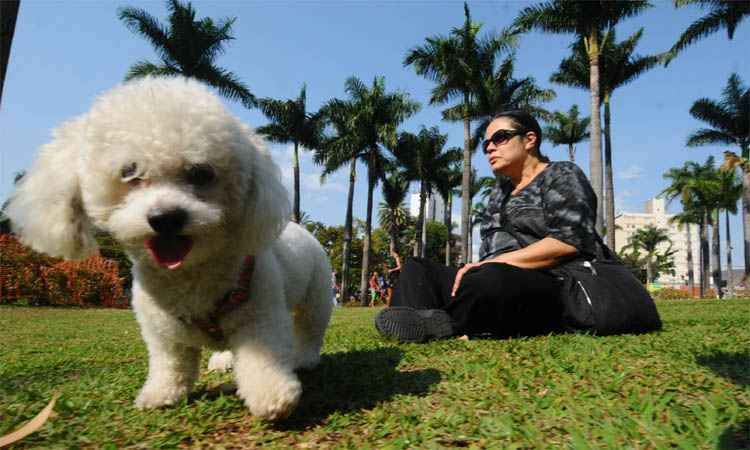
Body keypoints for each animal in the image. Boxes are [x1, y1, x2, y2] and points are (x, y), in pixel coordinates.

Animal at [6, 76, 334, 418]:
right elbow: (171, 363)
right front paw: (161, 393)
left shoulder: (260, 315)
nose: (166, 218)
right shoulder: (161, 330)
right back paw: (223, 360)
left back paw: (304, 358)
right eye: (129, 172)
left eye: (201, 173)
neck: (189, 274)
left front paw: (272, 394)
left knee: (310, 328)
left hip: (318, 295)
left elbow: (262, 356)